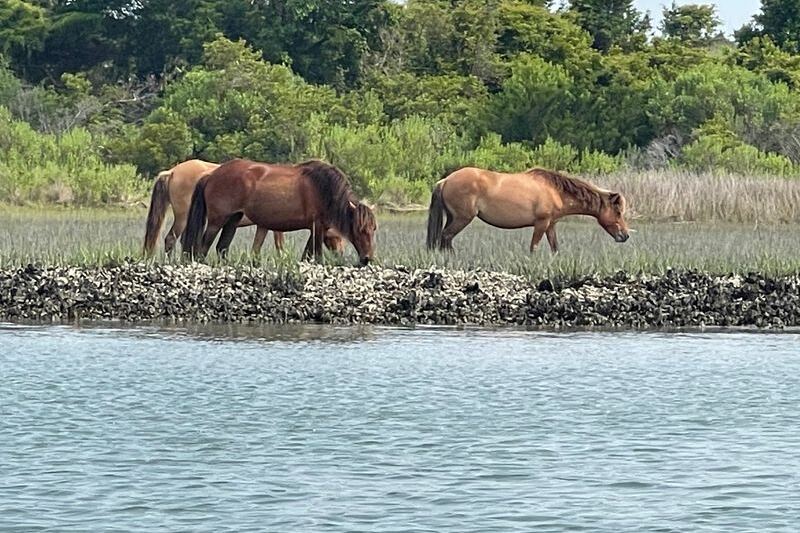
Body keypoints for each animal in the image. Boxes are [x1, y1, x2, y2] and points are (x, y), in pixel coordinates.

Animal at [142, 159, 343, 256]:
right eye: (336, 235)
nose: (340, 254)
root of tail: (172, 171)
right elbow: (279, 245)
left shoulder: (264, 225)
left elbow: (257, 247)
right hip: (183, 218)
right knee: (171, 240)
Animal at [180, 159, 377, 265]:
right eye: (360, 230)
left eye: (373, 229)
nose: (367, 259)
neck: (324, 188)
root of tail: (211, 176)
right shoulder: (318, 227)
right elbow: (317, 256)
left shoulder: (315, 229)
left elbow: (306, 256)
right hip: (216, 221)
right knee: (202, 249)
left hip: (233, 220)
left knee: (222, 248)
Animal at [426, 167, 630, 253]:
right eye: (618, 212)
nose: (625, 236)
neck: (555, 191)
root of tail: (445, 180)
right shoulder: (541, 224)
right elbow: (534, 247)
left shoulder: (550, 226)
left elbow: (555, 248)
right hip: (462, 219)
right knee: (446, 237)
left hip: (453, 217)